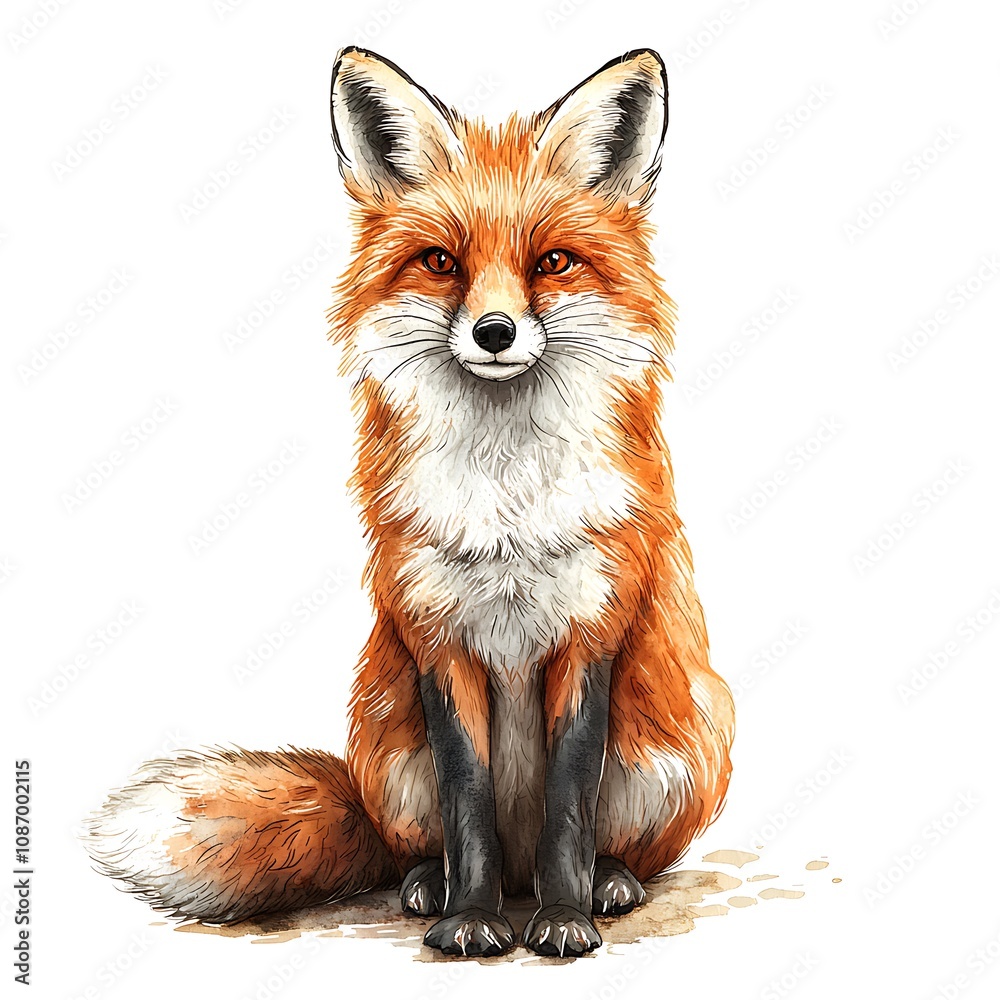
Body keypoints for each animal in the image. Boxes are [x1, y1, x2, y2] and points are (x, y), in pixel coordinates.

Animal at [84, 47, 734, 959]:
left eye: (552, 262)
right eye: (440, 262)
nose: (494, 332)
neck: (506, 506)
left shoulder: (590, 633)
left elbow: (569, 806)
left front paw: (564, 920)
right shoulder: (437, 637)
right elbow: (469, 807)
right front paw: (470, 918)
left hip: (680, 745)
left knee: (609, 845)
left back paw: (605, 884)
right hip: (387, 753)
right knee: (413, 851)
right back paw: (434, 887)